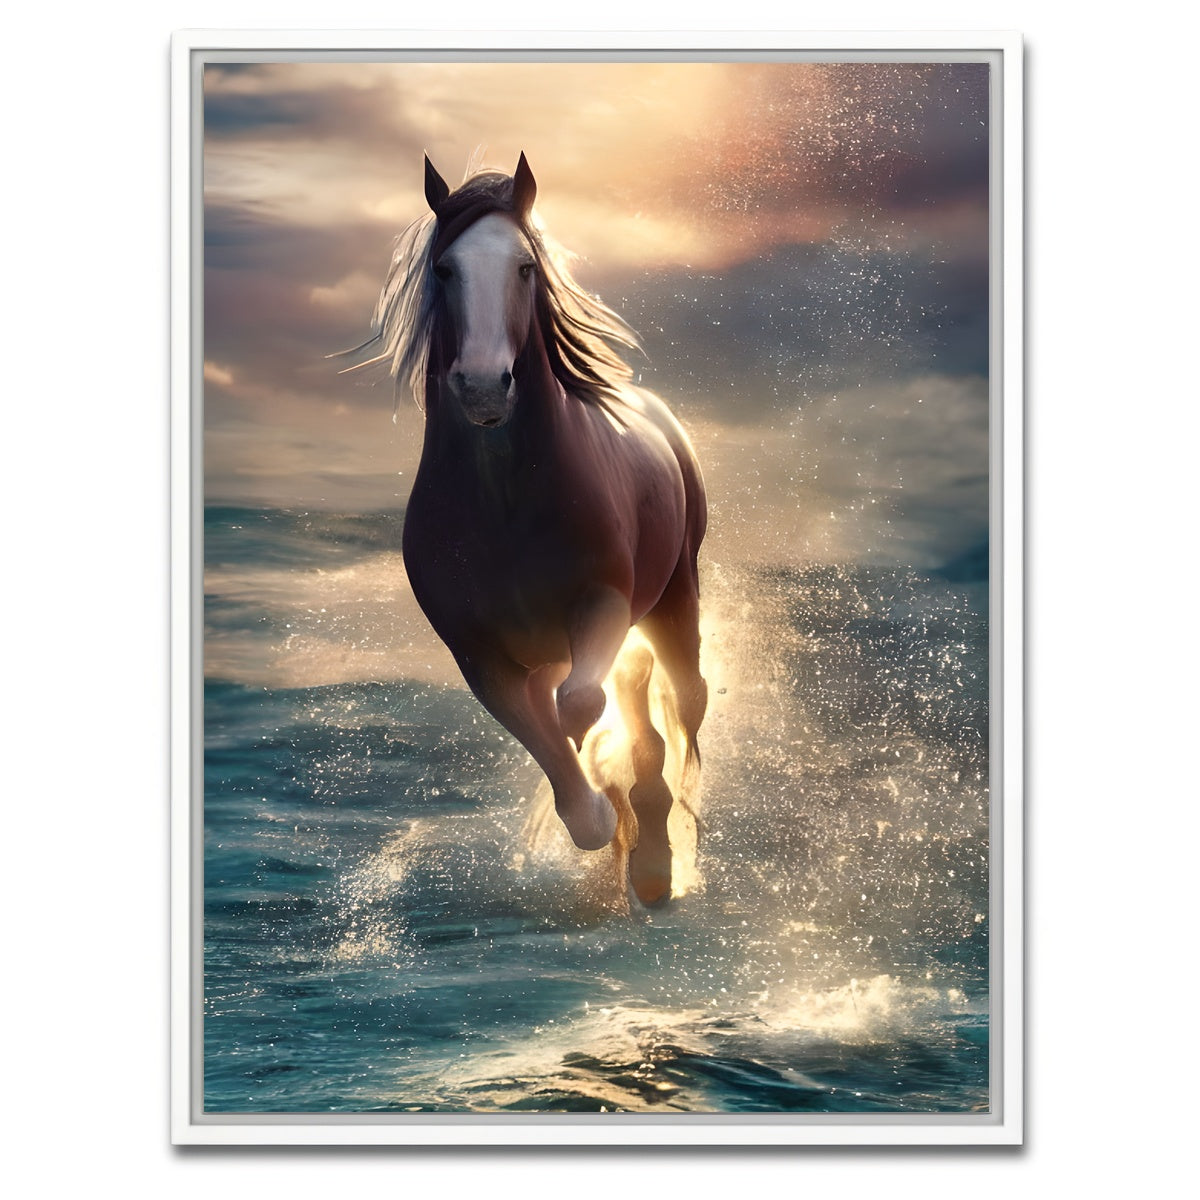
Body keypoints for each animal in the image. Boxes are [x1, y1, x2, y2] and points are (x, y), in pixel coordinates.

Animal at [350, 153, 707, 905]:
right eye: (445, 270)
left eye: (523, 268)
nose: (485, 387)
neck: (505, 503)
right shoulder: (479, 656)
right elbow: (560, 761)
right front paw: (607, 816)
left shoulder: (602, 603)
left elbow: (582, 707)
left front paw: (636, 826)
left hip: (673, 598)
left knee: (677, 697)